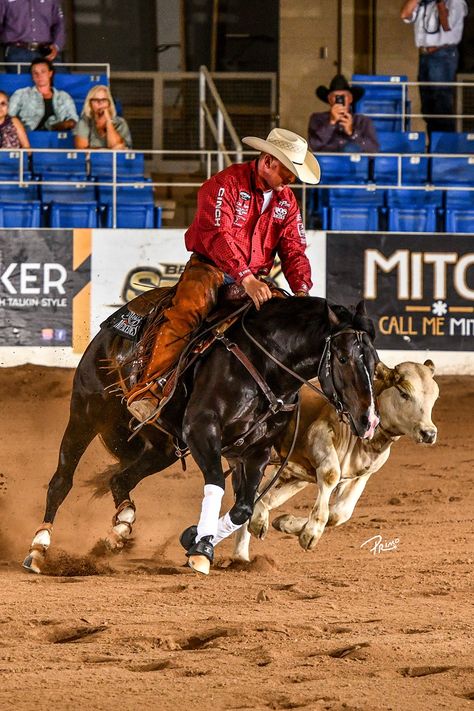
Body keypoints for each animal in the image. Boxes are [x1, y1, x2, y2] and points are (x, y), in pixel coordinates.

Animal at [22, 298, 380, 576]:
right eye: (343, 358)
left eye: (375, 362)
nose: (369, 420)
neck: (266, 366)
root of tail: (113, 327)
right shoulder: (201, 430)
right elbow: (216, 486)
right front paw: (200, 551)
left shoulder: (255, 451)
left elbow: (243, 509)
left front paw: (194, 537)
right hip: (86, 412)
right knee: (61, 481)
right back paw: (39, 547)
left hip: (162, 448)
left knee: (119, 479)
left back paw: (120, 529)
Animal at [231, 362, 438, 560]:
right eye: (403, 393)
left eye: (435, 397)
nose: (428, 433)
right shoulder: (319, 436)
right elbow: (331, 475)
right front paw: (310, 534)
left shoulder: (360, 474)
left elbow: (340, 513)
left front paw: (286, 523)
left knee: (263, 497)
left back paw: (242, 554)